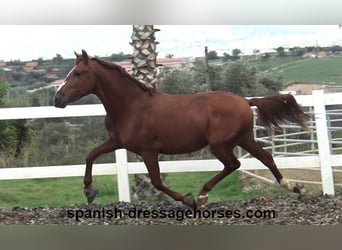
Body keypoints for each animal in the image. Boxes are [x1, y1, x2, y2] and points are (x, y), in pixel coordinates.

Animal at [54, 49, 308, 208]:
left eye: (78, 73)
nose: (58, 99)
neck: (132, 106)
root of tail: (246, 101)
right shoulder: (117, 142)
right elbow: (90, 155)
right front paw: (89, 191)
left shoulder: (148, 151)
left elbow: (157, 181)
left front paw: (187, 199)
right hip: (244, 139)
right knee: (266, 157)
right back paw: (294, 187)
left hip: (220, 145)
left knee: (233, 164)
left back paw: (202, 195)